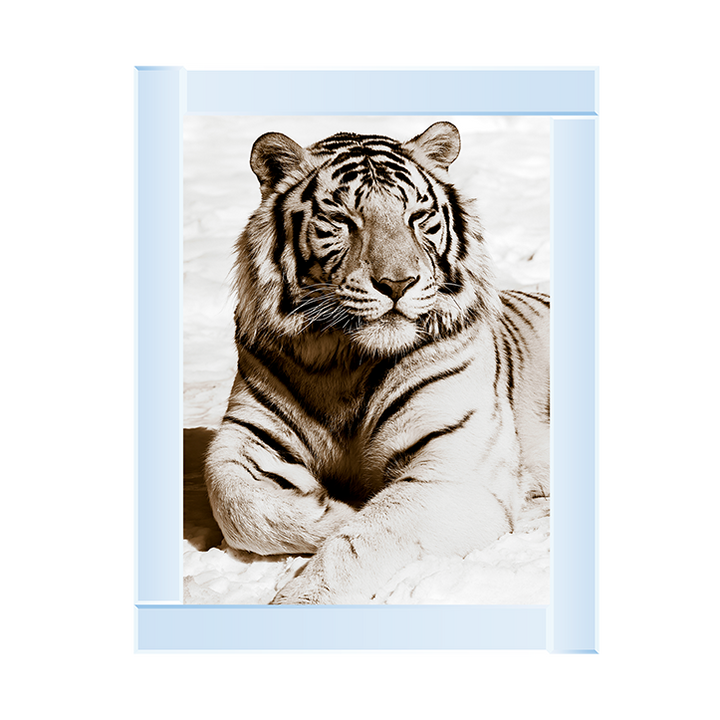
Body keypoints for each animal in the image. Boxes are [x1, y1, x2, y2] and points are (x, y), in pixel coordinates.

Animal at [204, 121, 549, 604]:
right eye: (342, 221)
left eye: (417, 218)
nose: (398, 283)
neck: (344, 360)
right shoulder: (247, 435)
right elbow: (234, 504)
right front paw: (335, 508)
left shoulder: (455, 471)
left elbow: (365, 538)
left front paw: (303, 593)